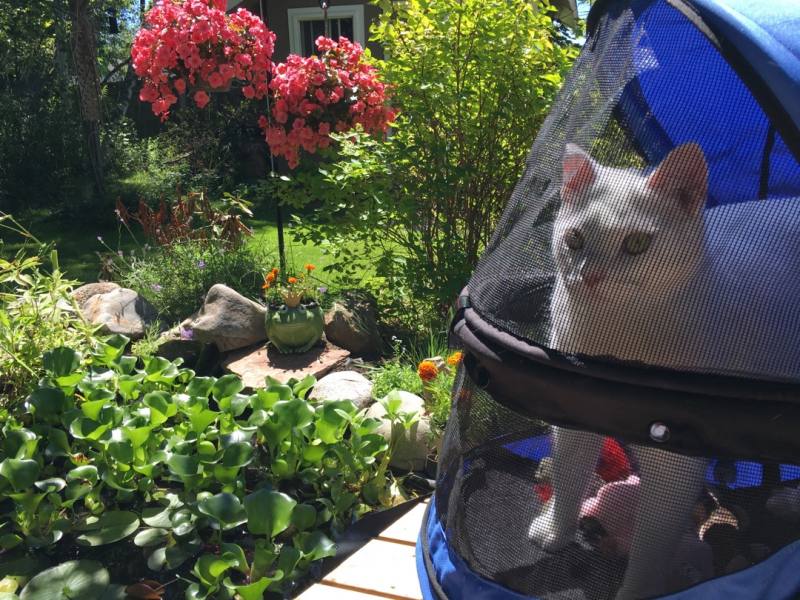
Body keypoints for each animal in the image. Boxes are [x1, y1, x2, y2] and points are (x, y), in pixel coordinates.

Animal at [532, 144, 800, 600]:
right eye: (575, 238)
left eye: (637, 243)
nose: (590, 276)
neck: (615, 335)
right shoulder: (573, 416)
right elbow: (569, 478)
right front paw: (555, 531)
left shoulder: (674, 464)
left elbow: (651, 543)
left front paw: (637, 591)